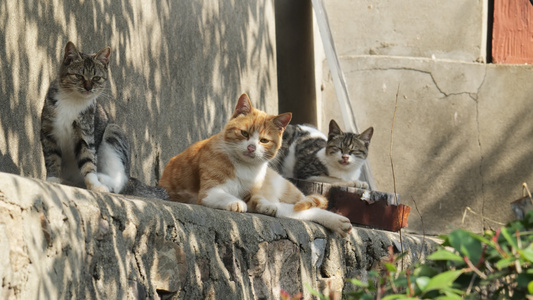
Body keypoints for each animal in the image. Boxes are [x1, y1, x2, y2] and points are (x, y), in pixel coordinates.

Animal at [40, 40, 167, 199]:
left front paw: (95, 185)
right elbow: (52, 157)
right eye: (79, 76)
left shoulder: (86, 133)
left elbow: (88, 160)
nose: (88, 88)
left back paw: (102, 179)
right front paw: (52, 179)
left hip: (113, 132)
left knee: (119, 181)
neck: (72, 100)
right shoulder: (48, 132)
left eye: (96, 78)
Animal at [157, 94, 350, 237]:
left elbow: (260, 200)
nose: (251, 147)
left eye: (264, 140)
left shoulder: (256, 194)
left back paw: (340, 222)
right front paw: (236, 203)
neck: (246, 168)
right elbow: (228, 197)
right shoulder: (209, 192)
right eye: (244, 133)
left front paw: (264, 205)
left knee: (305, 206)